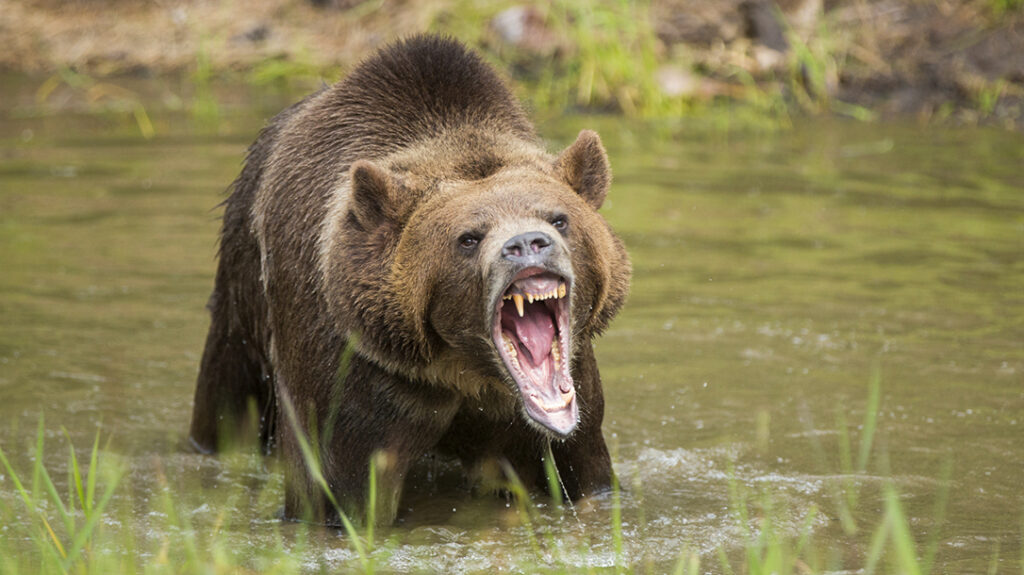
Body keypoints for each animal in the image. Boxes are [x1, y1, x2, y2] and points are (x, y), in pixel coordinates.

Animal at [188, 34, 631, 525]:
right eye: (468, 237)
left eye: (558, 218)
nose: (527, 243)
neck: (465, 369)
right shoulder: (360, 375)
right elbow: (338, 489)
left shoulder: (568, 399)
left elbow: (584, 470)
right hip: (243, 293)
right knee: (228, 397)